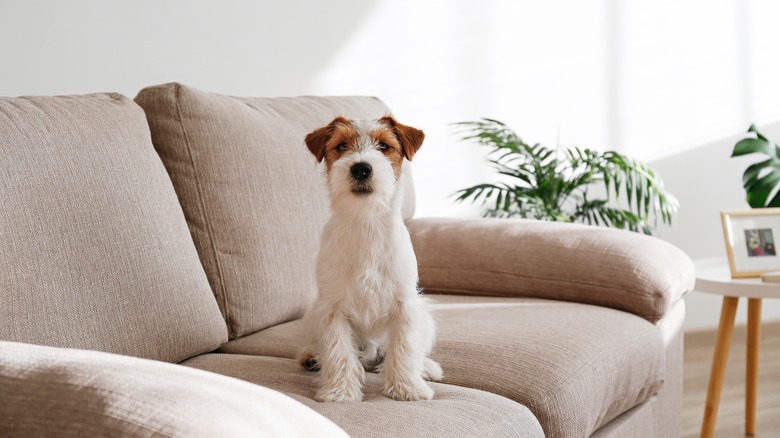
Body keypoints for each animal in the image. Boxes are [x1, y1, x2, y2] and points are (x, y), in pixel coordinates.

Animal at [298, 114, 442, 402]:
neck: (366, 221)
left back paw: (427, 368)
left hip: (423, 314)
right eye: (341, 146)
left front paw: (406, 388)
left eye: (384, 146)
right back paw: (312, 357)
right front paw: (340, 392)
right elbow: (339, 351)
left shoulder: (404, 305)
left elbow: (404, 348)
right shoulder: (331, 309)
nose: (361, 168)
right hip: (312, 315)